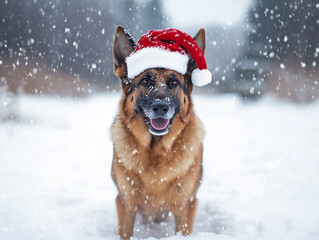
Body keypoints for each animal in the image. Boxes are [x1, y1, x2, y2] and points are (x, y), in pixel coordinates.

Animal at [111, 25, 209, 239]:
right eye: (145, 81)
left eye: (173, 83)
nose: (160, 107)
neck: (155, 149)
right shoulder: (126, 204)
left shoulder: (185, 207)